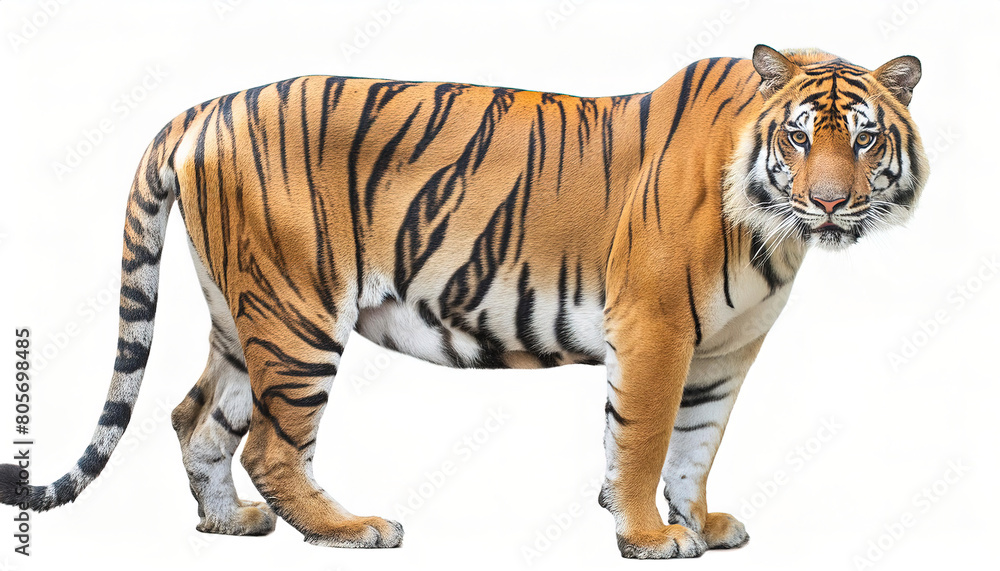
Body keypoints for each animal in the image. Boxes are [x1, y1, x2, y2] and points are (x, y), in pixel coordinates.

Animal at [0, 44, 926, 559]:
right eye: (799, 137)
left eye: (864, 138)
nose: (831, 203)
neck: (773, 228)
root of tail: (205, 105)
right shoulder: (656, 329)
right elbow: (644, 440)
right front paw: (648, 536)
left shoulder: (724, 351)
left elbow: (696, 446)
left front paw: (699, 521)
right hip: (298, 315)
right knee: (270, 443)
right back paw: (351, 528)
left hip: (241, 315)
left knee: (196, 417)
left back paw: (232, 524)